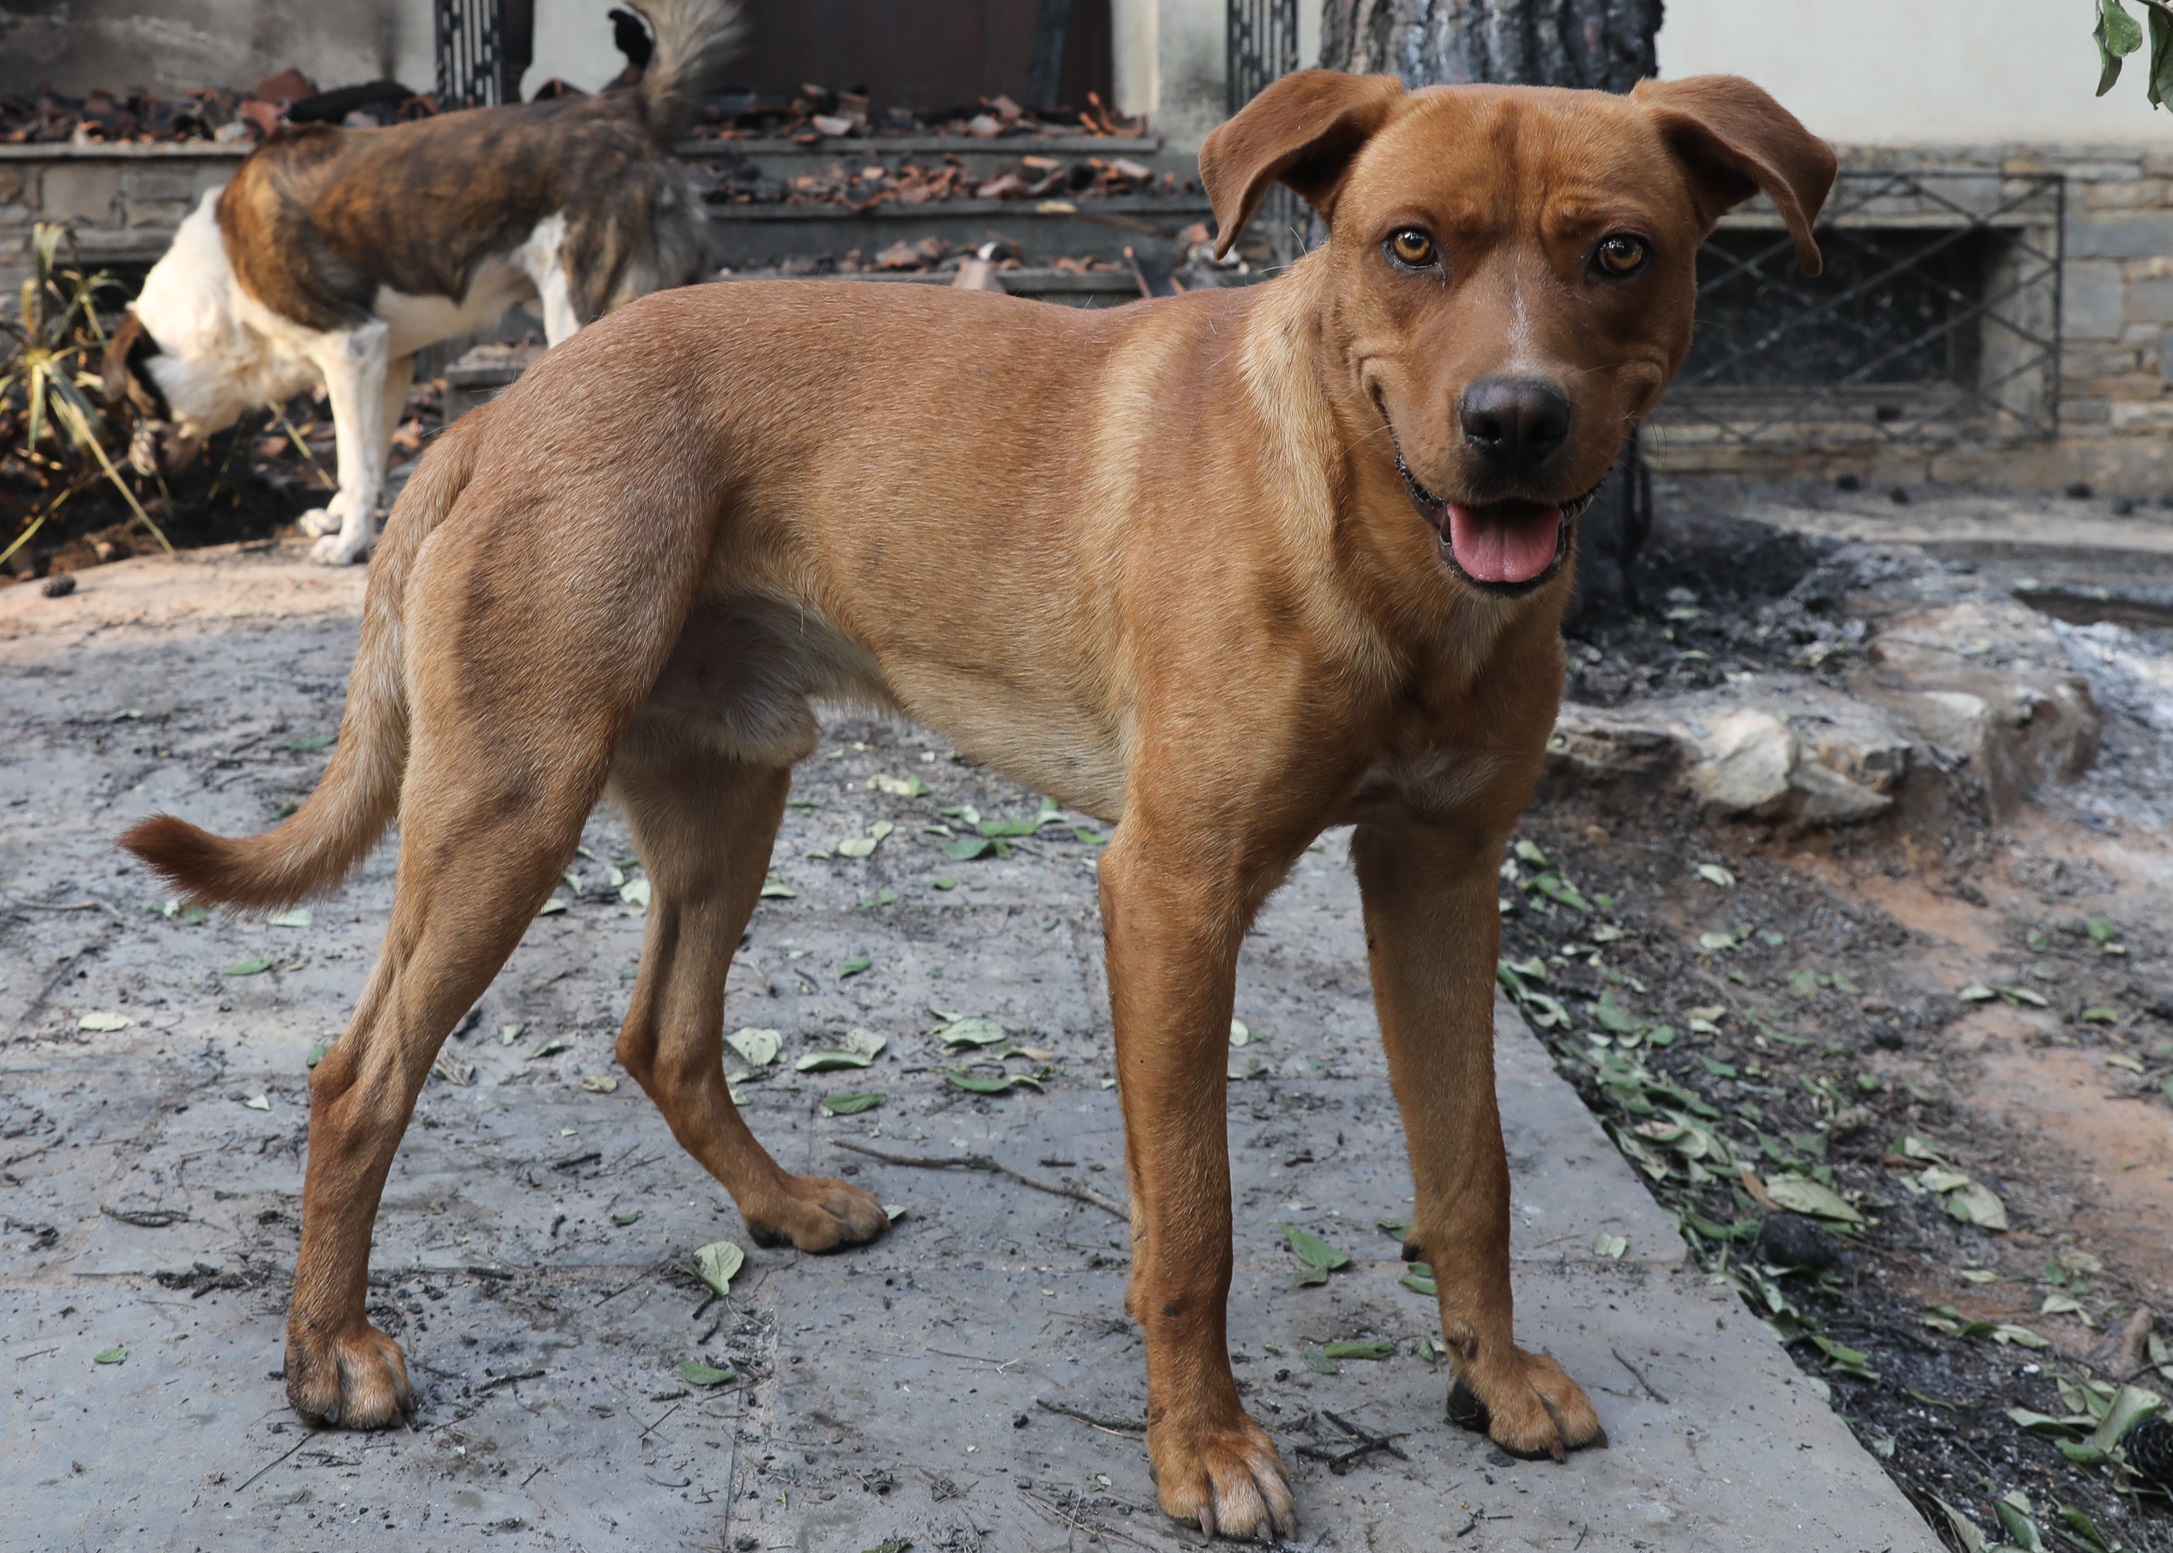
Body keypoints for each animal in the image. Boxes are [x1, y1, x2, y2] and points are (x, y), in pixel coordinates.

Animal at [105, 0, 738, 569]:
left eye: (135, 403)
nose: (134, 466)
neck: (221, 286)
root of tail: (626, 108)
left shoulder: (350, 347)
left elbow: (354, 461)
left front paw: (347, 544)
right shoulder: (387, 363)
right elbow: (367, 455)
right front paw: (339, 518)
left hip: (583, 315)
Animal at [127, 70, 1834, 1546]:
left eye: (1621, 253)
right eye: (1410, 245)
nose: (1513, 422)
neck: (1379, 544)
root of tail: (495, 414)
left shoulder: (1440, 876)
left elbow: (1467, 1164)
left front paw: (1491, 1374)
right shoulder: (1171, 892)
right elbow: (1196, 1218)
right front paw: (1203, 1447)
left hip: (729, 790)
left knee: (662, 1035)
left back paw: (782, 1208)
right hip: (509, 802)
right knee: (359, 1077)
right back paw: (330, 1353)